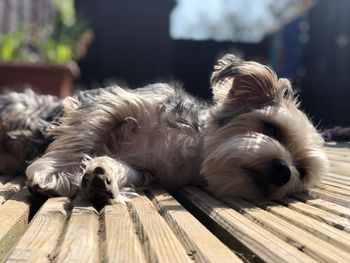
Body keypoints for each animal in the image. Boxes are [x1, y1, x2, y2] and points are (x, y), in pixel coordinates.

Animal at [0, 54, 328, 205]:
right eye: (272, 129)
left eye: (301, 171)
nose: (283, 171)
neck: (192, 148)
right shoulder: (117, 102)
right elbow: (83, 136)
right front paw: (56, 173)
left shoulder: (148, 170)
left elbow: (123, 168)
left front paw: (102, 177)